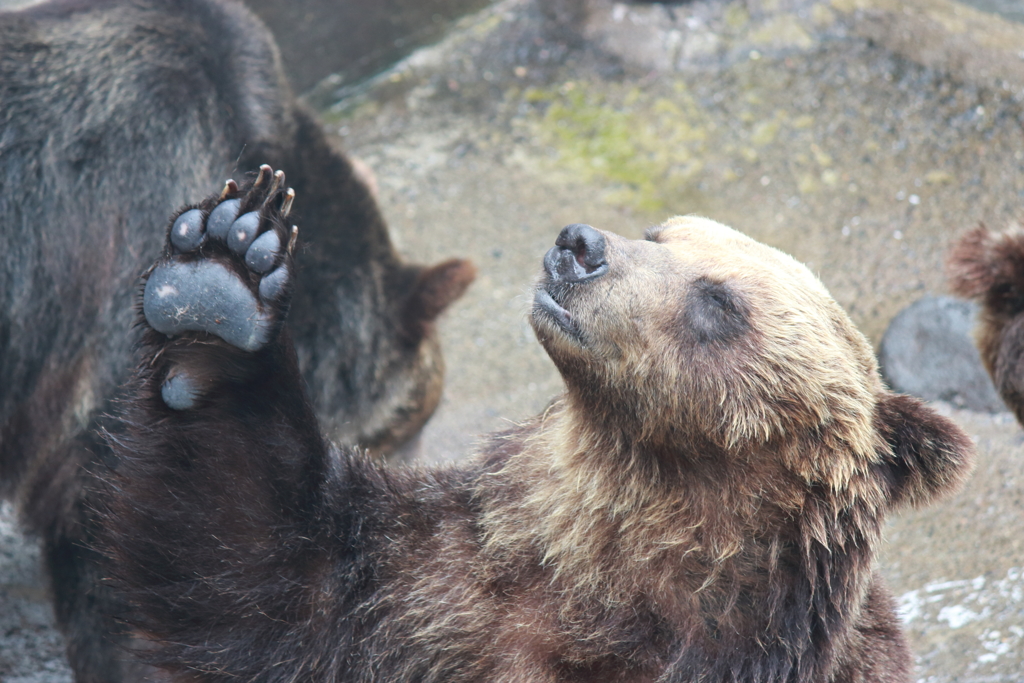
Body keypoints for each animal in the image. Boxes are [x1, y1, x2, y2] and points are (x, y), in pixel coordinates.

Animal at [103, 193, 974, 683]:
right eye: (660, 230)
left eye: (718, 301)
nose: (581, 245)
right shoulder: (431, 586)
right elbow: (249, 564)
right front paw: (222, 271)